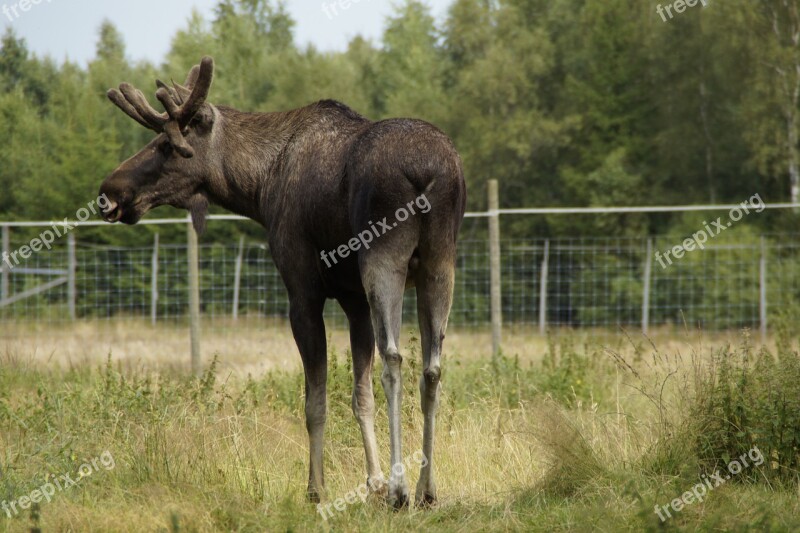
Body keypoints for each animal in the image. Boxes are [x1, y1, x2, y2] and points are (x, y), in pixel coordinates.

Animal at [97, 57, 466, 508]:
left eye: (166, 145)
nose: (109, 192)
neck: (258, 186)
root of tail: (426, 171)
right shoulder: (353, 300)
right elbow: (360, 396)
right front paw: (372, 483)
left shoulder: (302, 289)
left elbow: (315, 400)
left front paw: (318, 488)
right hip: (440, 263)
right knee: (432, 368)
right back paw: (427, 489)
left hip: (384, 258)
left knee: (394, 358)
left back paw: (402, 490)